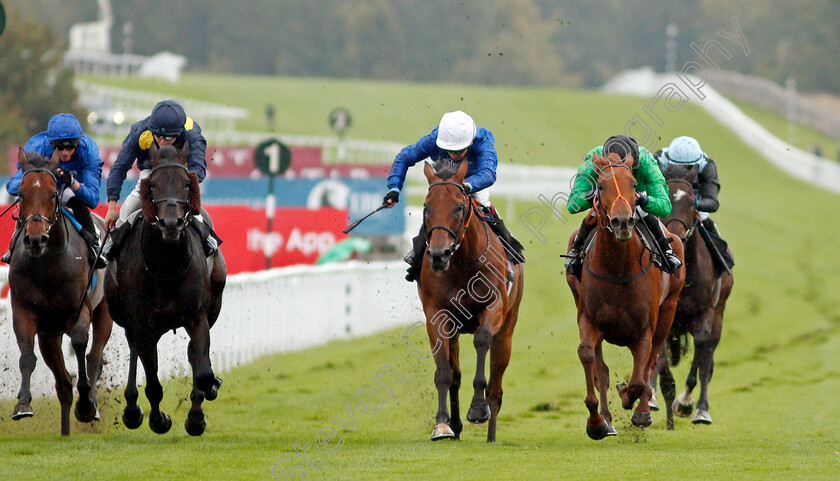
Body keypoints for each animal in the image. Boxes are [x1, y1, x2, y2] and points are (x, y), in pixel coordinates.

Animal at [9, 149, 113, 436]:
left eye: (53, 194)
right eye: (21, 194)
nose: (36, 239)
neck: (48, 265)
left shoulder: (81, 310)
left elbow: (79, 345)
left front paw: (86, 403)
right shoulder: (24, 311)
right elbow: (26, 356)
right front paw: (23, 404)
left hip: (104, 313)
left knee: (94, 356)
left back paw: (91, 404)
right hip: (50, 333)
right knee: (63, 383)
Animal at [104, 142, 226, 436]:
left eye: (186, 183)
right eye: (154, 185)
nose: (171, 223)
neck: (166, 266)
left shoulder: (197, 316)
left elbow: (202, 372)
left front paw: (198, 415)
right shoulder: (143, 324)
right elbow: (153, 384)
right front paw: (159, 420)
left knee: (193, 353)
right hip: (125, 317)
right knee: (134, 349)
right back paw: (132, 410)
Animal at [416, 158, 520, 442]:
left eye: (459, 206)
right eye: (426, 207)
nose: (438, 254)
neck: (462, 264)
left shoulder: (494, 307)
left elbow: (482, 341)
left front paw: (477, 409)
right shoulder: (437, 315)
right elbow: (444, 372)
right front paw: (442, 425)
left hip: (507, 330)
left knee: (496, 388)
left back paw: (491, 434)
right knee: (456, 374)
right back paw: (455, 426)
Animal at [568, 153, 684, 438]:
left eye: (633, 184)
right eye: (599, 187)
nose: (622, 222)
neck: (618, 269)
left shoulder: (645, 329)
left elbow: (640, 377)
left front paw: (633, 403)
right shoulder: (588, 320)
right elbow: (590, 359)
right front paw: (596, 422)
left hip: (668, 311)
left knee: (651, 361)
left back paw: (641, 410)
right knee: (602, 368)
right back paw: (607, 420)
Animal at [648, 164, 736, 428]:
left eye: (691, 203)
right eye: (665, 197)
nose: (675, 233)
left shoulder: (705, 316)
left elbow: (700, 361)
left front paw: (686, 404)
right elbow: (659, 358)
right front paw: (653, 395)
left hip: (719, 314)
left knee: (707, 363)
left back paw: (701, 410)